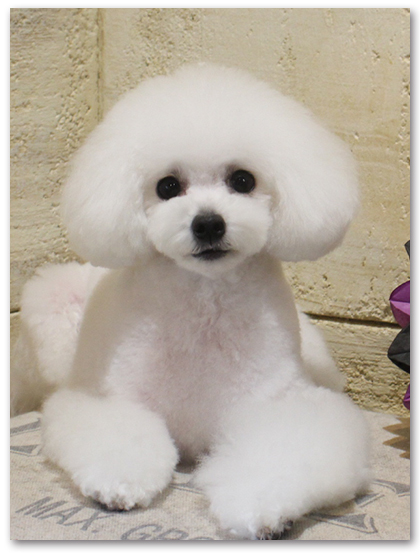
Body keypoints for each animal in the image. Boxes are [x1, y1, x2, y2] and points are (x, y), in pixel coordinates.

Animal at [12, 64, 370, 539]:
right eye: (167, 187)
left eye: (243, 180)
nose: (208, 224)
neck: (205, 306)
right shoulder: (105, 398)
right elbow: (119, 433)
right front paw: (117, 483)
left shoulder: (283, 404)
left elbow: (283, 450)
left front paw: (261, 506)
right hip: (54, 307)